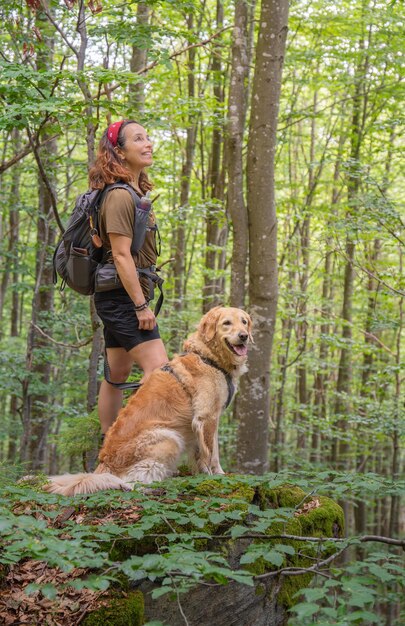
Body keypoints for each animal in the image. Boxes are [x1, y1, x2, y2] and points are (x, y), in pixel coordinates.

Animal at [45, 304, 251, 494]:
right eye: (226, 323)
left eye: (244, 322)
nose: (244, 336)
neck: (208, 357)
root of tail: (104, 464)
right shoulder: (206, 417)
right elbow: (211, 453)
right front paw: (215, 477)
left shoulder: (208, 419)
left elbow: (205, 452)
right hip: (169, 438)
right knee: (133, 482)